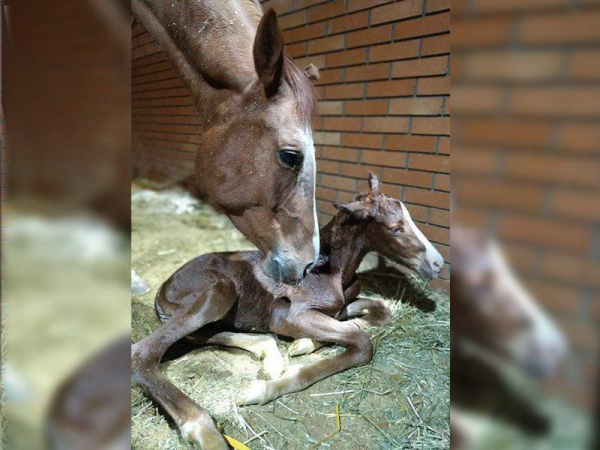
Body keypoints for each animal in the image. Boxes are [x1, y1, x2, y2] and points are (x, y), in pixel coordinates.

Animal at [131, 174, 442, 448]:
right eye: (396, 228)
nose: (438, 264)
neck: (333, 271)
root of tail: (163, 288)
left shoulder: (339, 307)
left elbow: (378, 311)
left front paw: (303, 344)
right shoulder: (288, 316)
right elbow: (362, 342)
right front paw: (262, 388)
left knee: (204, 333)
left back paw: (269, 354)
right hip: (219, 291)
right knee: (143, 353)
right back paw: (206, 432)